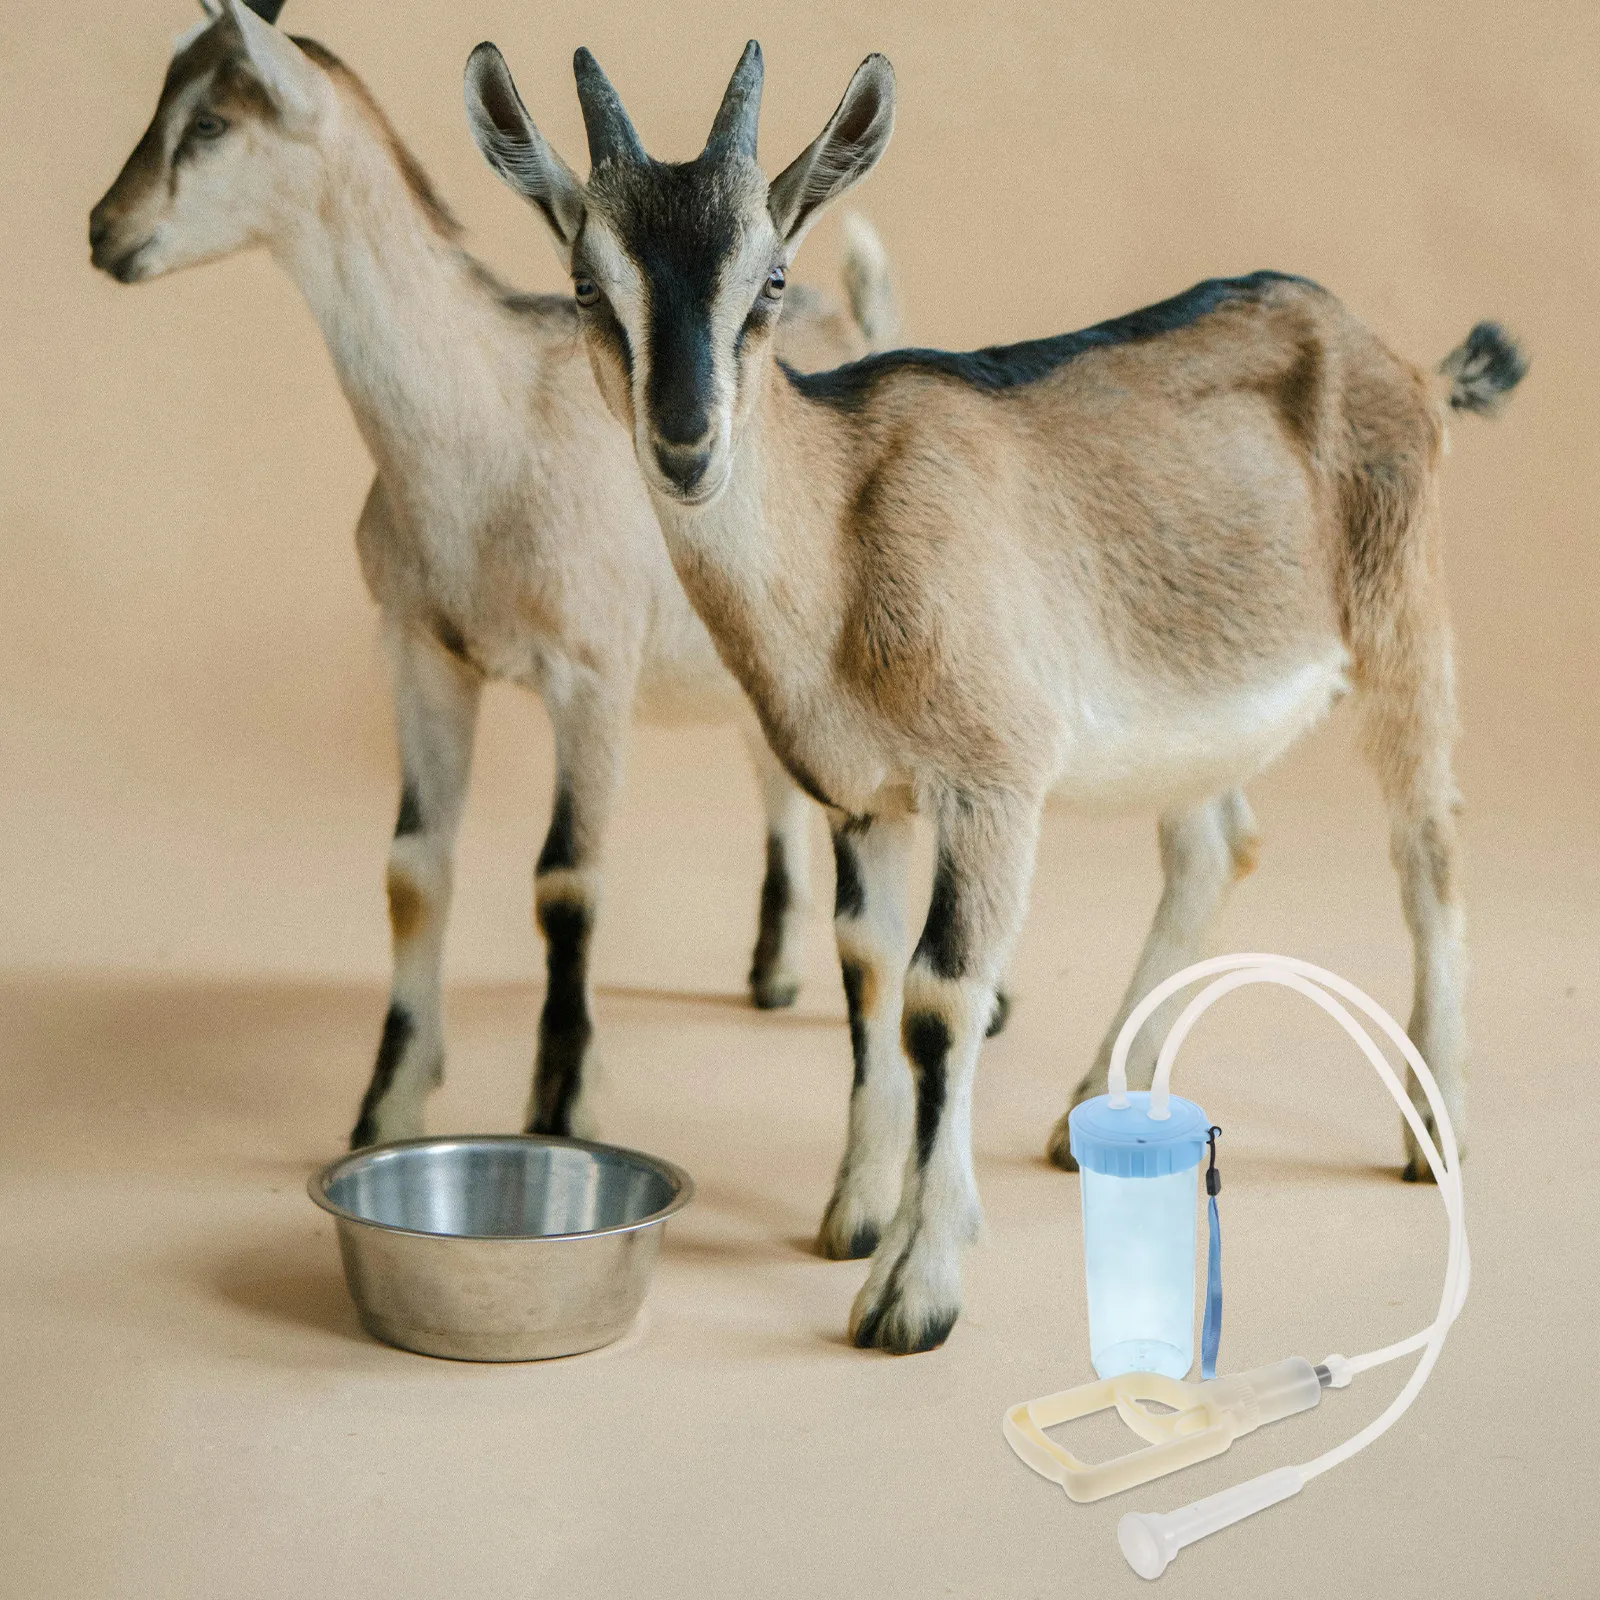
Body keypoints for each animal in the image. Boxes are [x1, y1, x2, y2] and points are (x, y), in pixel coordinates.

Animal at [88, 0, 899, 1149]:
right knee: (776, 778)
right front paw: (385, 1102)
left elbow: (567, 878)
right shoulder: (423, 650)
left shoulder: (590, 676)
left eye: (210, 122)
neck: (487, 428)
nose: (104, 232)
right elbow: (413, 866)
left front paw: (560, 1107)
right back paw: (774, 976)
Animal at [463, 39, 1526, 1353]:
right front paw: (858, 1213)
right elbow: (867, 973)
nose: (687, 441)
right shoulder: (861, 796)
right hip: (1191, 710)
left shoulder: (992, 780)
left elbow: (937, 997)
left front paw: (913, 1290)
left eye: (771, 278)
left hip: (1400, 621)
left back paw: (1433, 1133)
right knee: (1216, 847)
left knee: (1429, 843)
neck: (842, 533)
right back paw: (1099, 1102)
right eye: (583, 279)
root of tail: (1405, 363)